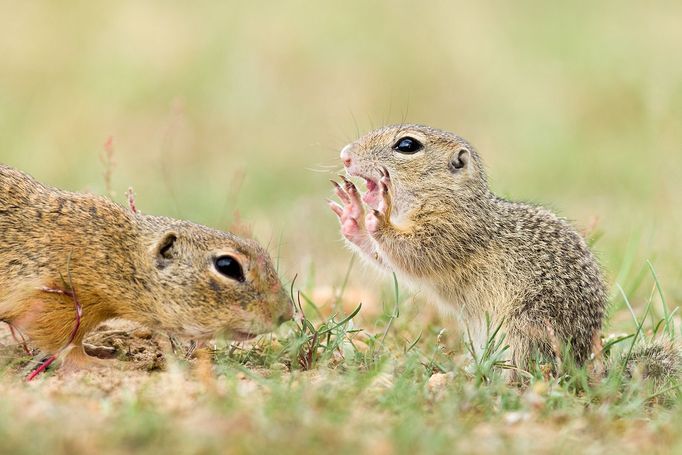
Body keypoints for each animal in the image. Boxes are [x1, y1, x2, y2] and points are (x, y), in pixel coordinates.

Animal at [0, 166, 292, 372]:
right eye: (228, 266)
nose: (286, 314)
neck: (121, 253)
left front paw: (102, 349)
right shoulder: (55, 302)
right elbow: (65, 346)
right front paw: (102, 363)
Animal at [330, 124, 660, 378]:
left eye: (407, 145)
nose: (345, 155)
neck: (452, 197)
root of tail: (581, 363)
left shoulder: (451, 230)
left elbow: (413, 252)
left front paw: (379, 218)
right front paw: (353, 217)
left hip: (525, 326)